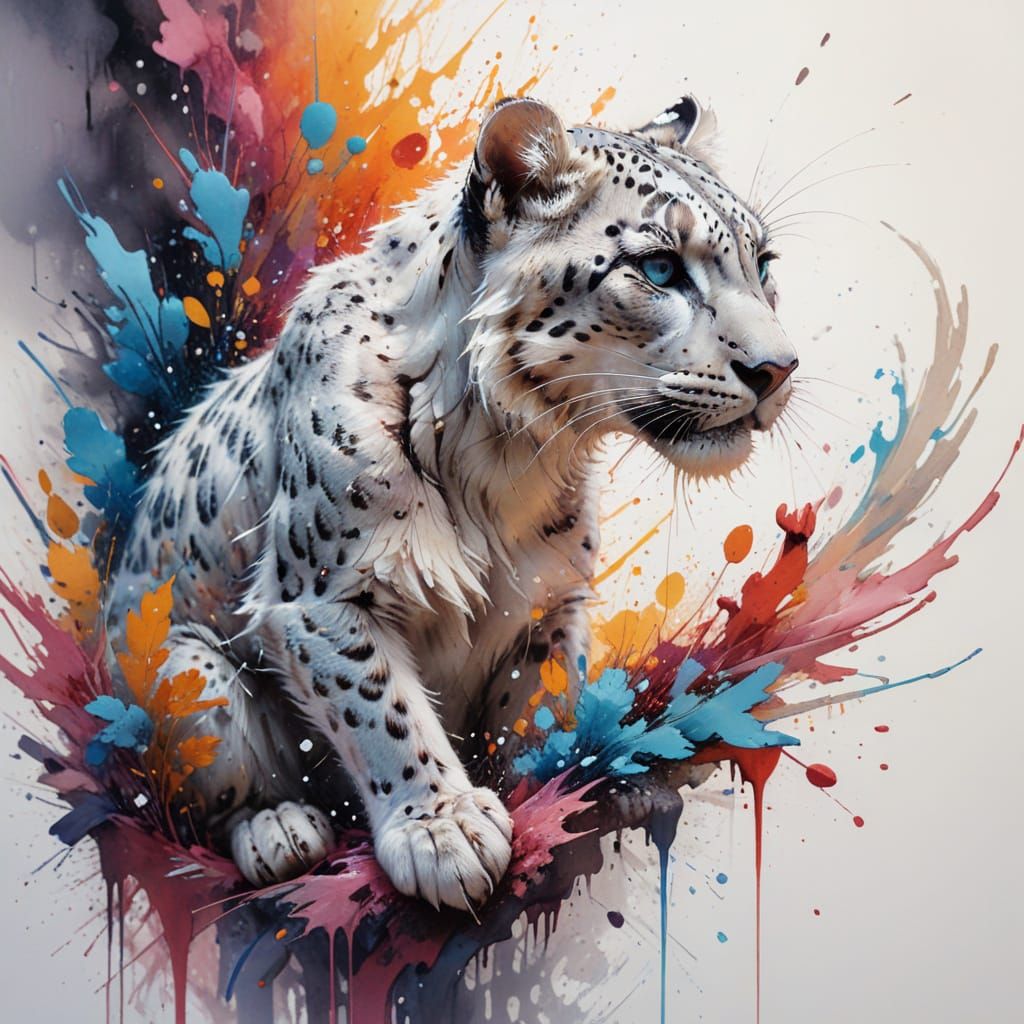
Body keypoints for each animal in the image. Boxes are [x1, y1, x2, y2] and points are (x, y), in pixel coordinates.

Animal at [108, 95, 797, 912]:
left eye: (764, 265)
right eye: (658, 267)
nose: (779, 368)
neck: (512, 460)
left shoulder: (548, 603)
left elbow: (539, 704)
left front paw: (558, 786)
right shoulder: (322, 595)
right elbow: (377, 704)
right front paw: (444, 831)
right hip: (185, 669)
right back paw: (278, 828)